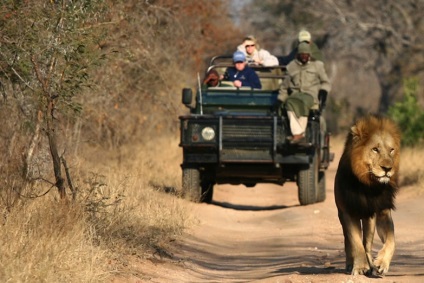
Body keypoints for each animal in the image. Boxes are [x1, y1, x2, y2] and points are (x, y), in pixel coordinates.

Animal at [334, 114, 400, 276]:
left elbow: (391, 240)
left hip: (369, 218)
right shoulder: (347, 212)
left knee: (367, 243)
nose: (387, 169)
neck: (368, 186)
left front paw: (381, 263)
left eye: (391, 150)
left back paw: (371, 266)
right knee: (349, 242)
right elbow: (354, 242)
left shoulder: (380, 212)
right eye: (375, 149)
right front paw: (359, 267)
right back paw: (351, 265)